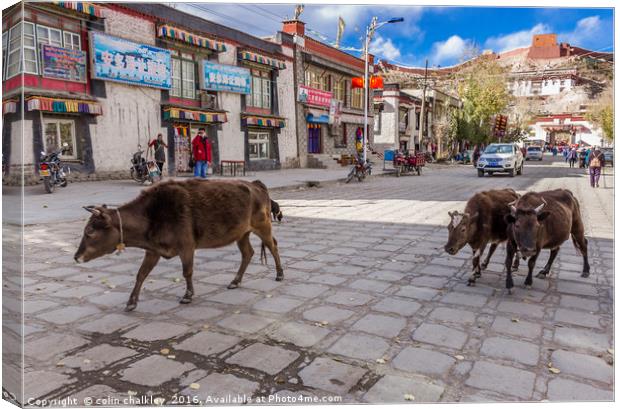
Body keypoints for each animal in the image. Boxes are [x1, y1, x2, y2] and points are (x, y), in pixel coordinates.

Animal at [74, 178, 284, 310]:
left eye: (90, 231)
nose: (76, 257)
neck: (152, 215)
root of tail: (256, 185)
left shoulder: (187, 246)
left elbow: (187, 271)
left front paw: (188, 295)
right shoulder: (153, 250)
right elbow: (141, 274)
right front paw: (131, 302)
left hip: (263, 226)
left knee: (273, 246)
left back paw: (280, 274)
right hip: (241, 233)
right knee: (247, 253)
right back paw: (235, 281)